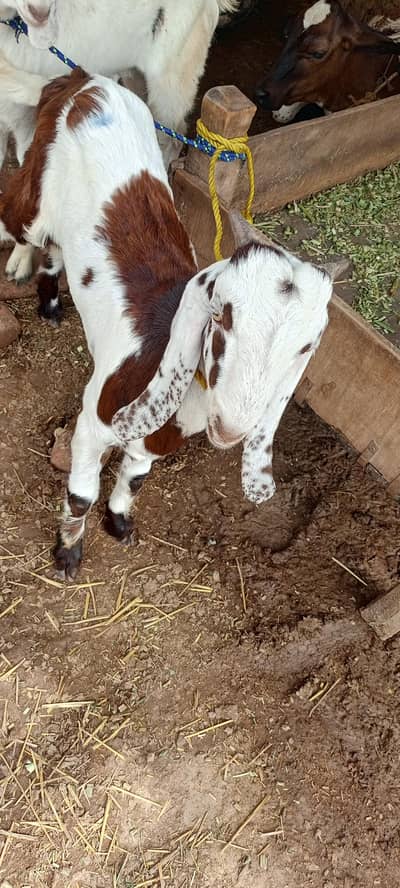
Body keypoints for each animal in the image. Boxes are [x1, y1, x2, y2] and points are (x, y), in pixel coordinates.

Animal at [0, 0, 236, 282]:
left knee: (171, 135)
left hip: (174, 80)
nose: (41, 14)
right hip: (134, 74)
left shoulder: (27, 122)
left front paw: (20, 262)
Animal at [0, 64, 332, 578]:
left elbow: (135, 477)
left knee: (55, 247)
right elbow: (81, 494)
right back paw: (19, 263)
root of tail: (83, 80)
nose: (232, 427)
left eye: (305, 347)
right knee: (14, 214)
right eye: (223, 316)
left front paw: (118, 522)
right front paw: (68, 553)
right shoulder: (92, 423)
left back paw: (51, 305)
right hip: (36, 185)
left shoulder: (151, 441)